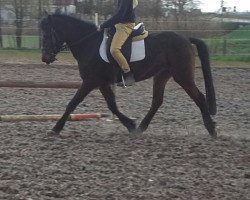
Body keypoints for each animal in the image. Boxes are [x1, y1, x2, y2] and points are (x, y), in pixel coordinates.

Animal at [39, 12, 217, 138]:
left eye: (46, 35)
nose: (45, 58)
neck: (89, 43)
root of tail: (186, 38)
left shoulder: (91, 81)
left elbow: (72, 103)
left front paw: (55, 129)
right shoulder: (101, 82)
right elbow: (112, 105)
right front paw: (131, 125)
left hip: (182, 76)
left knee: (199, 97)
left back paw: (212, 130)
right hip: (162, 75)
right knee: (157, 101)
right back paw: (141, 128)